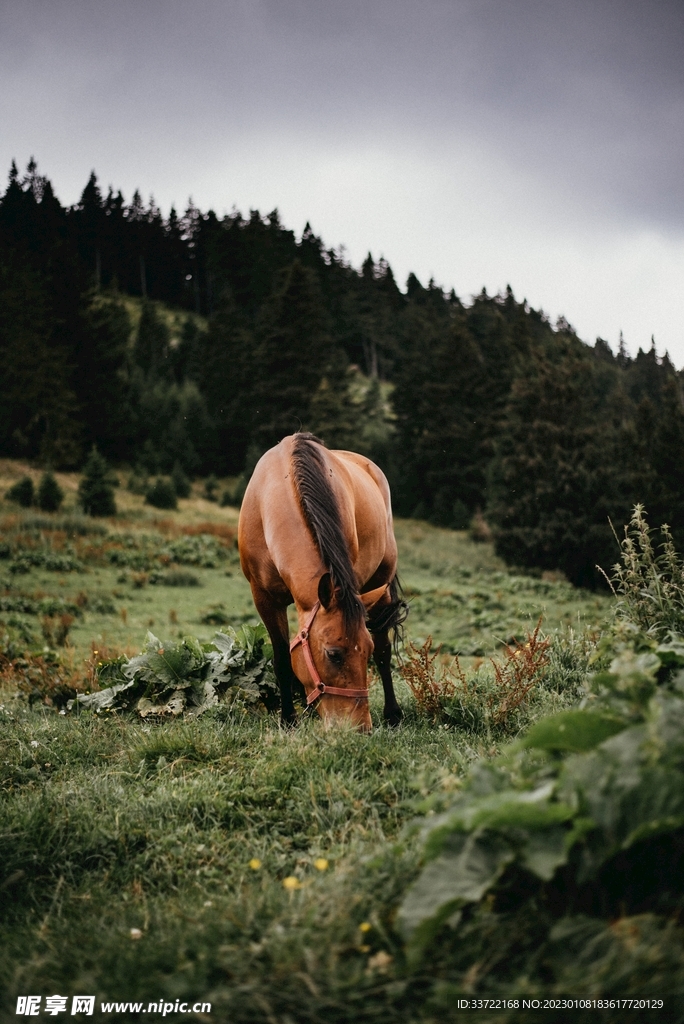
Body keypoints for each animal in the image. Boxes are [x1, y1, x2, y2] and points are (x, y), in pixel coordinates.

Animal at [238, 432, 407, 730]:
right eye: (334, 654)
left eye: (364, 651)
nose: (359, 727)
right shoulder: (264, 598)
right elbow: (282, 659)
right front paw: (289, 720)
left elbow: (379, 651)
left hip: (380, 585)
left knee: (385, 651)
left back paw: (393, 714)